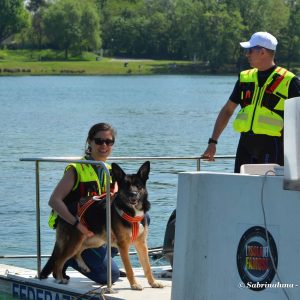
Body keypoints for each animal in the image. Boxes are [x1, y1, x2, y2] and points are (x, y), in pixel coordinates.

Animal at [39, 162, 164, 290]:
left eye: (138, 186)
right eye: (126, 186)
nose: (133, 194)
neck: (131, 211)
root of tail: (67, 208)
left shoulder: (142, 244)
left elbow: (147, 266)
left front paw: (153, 282)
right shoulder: (123, 245)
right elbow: (129, 268)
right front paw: (134, 284)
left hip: (94, 240)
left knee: (78, 252)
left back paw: (83, 266)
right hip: (76, 241)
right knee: (59, 260)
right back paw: (60, 278)